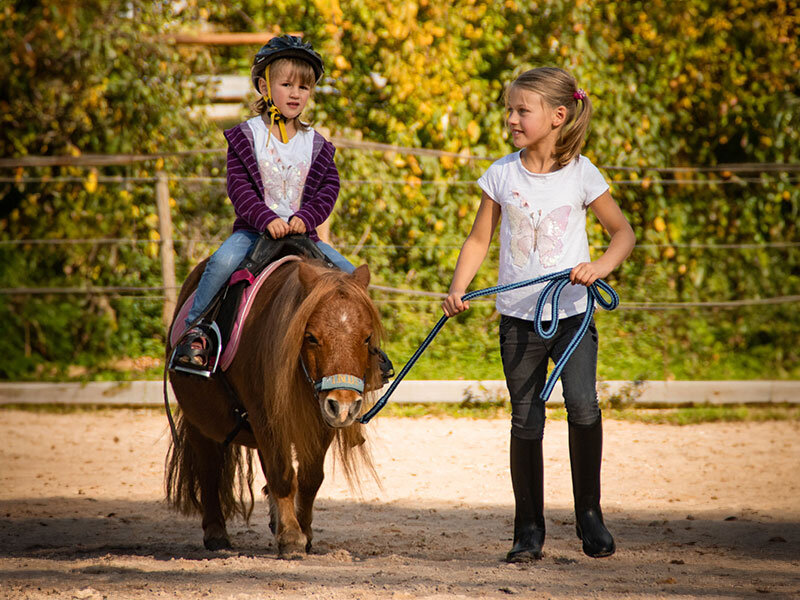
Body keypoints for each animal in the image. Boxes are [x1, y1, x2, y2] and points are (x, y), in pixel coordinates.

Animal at [164, 258, 382, 556]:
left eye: (366, 337)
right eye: (311, 337)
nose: (345, 405)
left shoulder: (320, 421)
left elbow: (310, 478)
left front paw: (303, 530)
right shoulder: (265, 417)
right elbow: (282, 474)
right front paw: (290, 536)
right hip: (200, 421)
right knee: (209, 471)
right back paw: (216, 533)